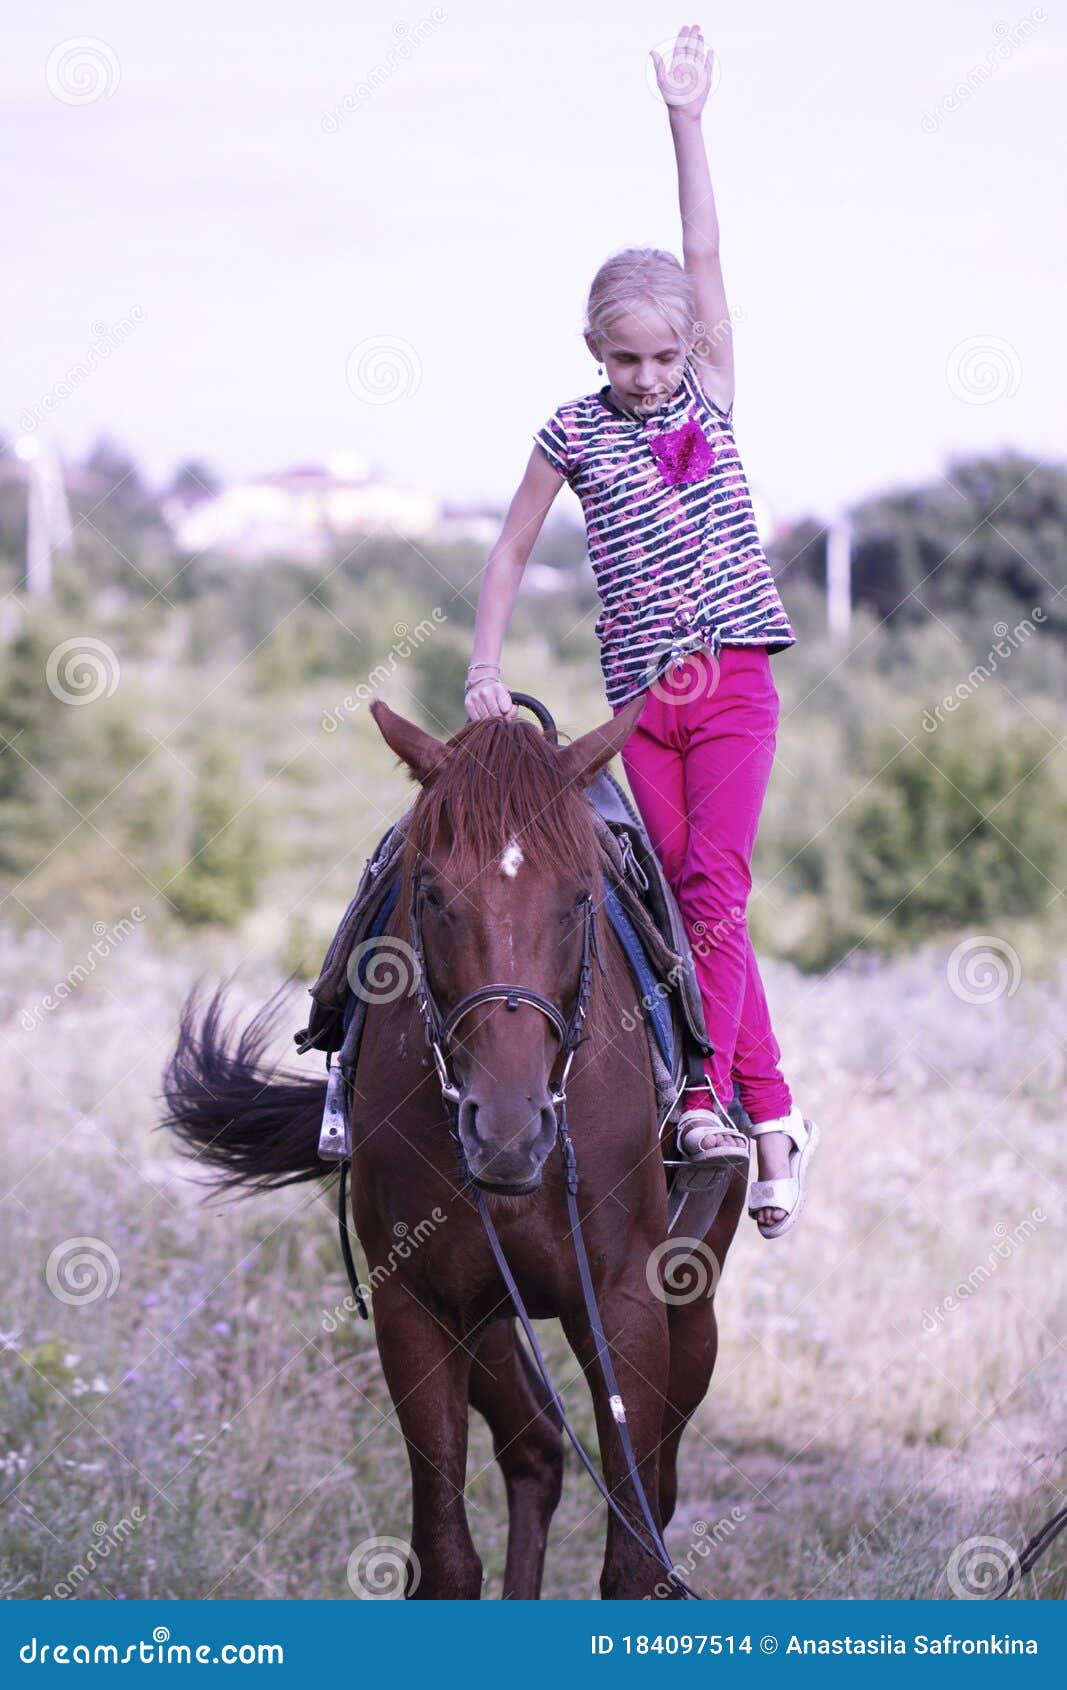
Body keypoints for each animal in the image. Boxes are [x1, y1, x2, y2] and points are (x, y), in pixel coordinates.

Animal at [160, 696, 744, 1595]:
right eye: (431, 895)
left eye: (579, 898)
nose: (507, 1130)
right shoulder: (420, 1308)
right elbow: (444, 1557)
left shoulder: (624, 1305)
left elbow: (634, 1558)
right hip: (493, 1317)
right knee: (537, 1448)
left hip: (688, 1299)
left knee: (643, 1475)